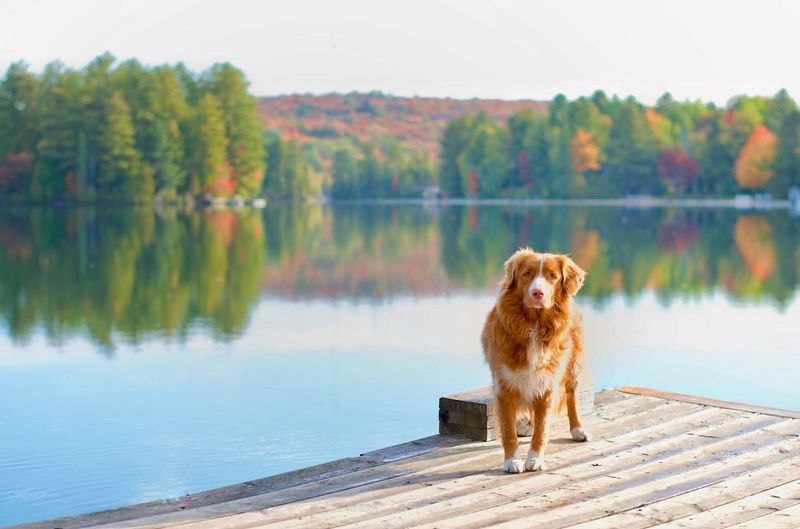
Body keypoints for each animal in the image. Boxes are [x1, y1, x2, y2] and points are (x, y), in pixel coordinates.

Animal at [478, 248, 592, 474]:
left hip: (573, 365)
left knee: (572, 396)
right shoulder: (504, 385)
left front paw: (535, 459)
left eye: (553, 276)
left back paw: (577, 429)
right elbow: (508, 429)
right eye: (527, 274)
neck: (535, 325)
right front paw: (512, 460)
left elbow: (542, 428)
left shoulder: (547, 385)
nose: (537, 293)